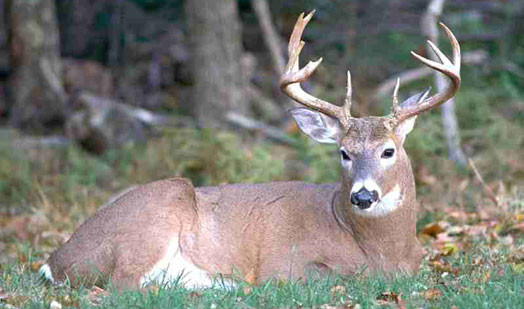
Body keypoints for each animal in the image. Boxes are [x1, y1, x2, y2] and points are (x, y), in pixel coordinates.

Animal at [39, 11, 460, 288]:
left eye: (388, 151)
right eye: (344, 152)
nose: (362, 196)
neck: (384, 251)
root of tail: (55, 262)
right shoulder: (288, 263)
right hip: (161, 205)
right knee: (121, 284)